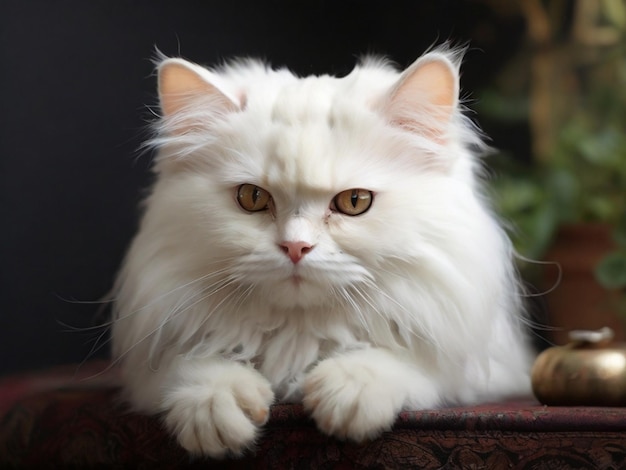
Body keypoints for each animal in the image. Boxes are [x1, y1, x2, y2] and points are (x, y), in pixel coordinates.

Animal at [111, 46, 532, 458]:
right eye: (252, 198)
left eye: (355, 201)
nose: (295, 247)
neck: (298, 337)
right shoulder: (152, 361)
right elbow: (191, 364)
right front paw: (213, 404)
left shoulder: (484, 365)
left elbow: (411, 362)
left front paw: (351, 390)